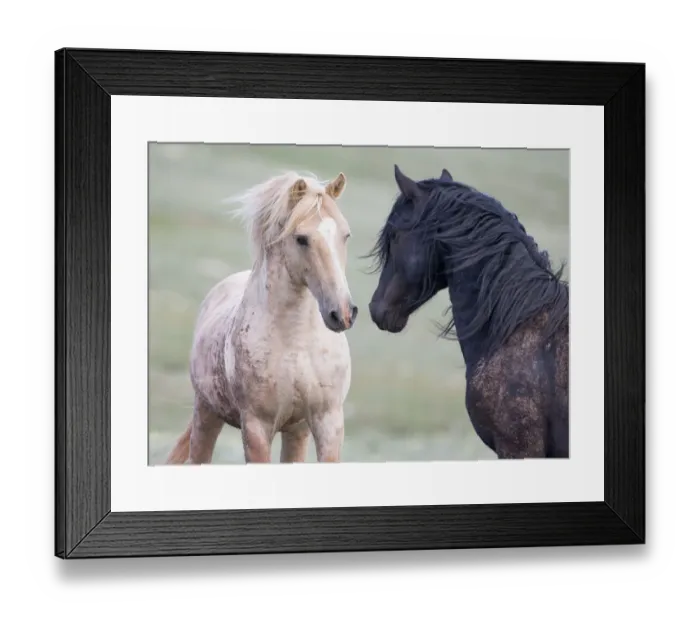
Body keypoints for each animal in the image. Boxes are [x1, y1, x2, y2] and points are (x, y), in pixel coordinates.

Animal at [165, 171, 358, 465]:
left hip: (296, 432)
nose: (342, 313)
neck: (296, 344)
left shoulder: (327, 422)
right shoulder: (257, 426)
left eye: (345, 235)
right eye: (301, 239)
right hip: (206, 415)